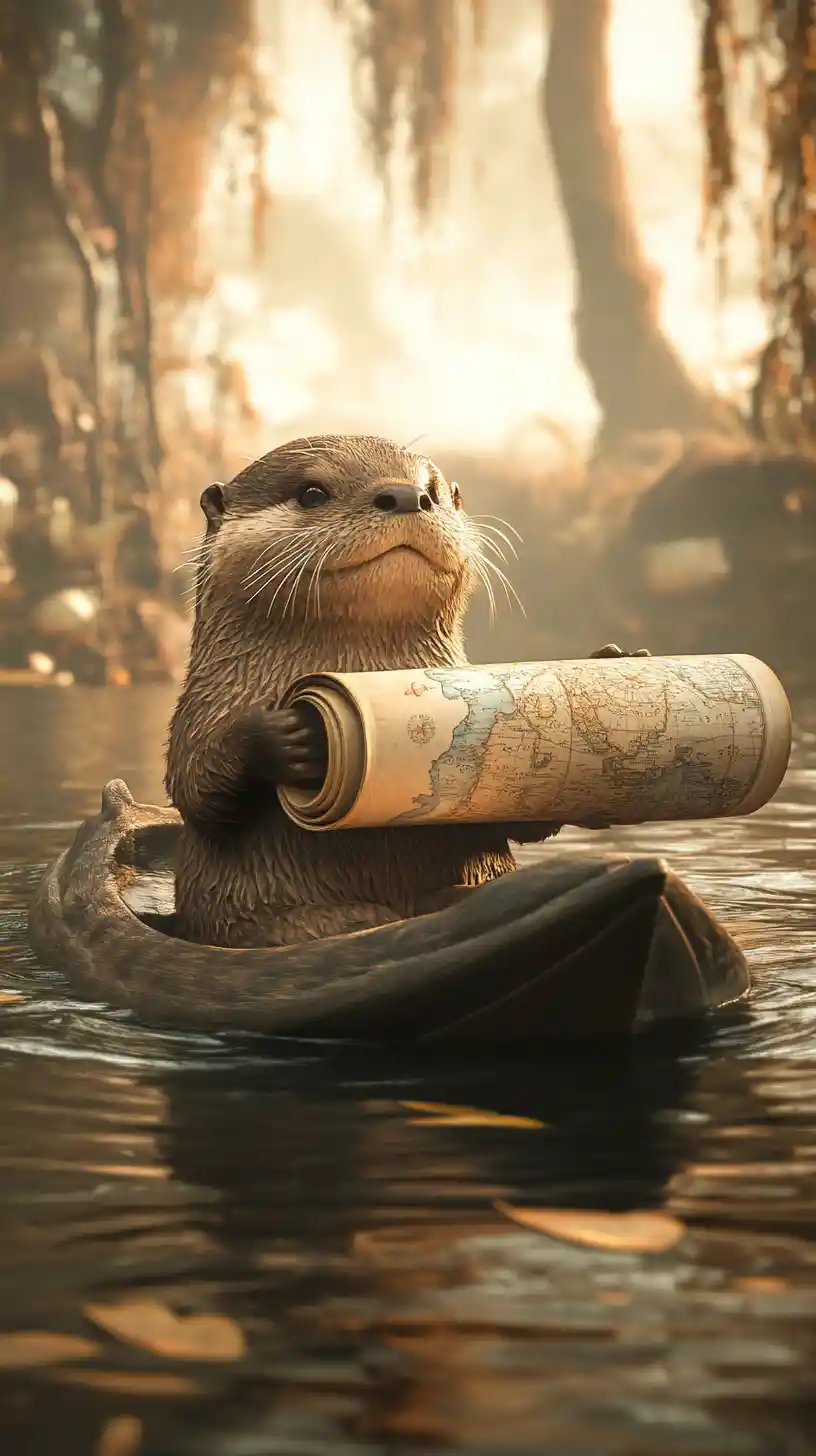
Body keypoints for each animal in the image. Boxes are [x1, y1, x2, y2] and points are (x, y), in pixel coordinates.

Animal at [166, 435, 647, 949]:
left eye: (433, 490)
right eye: (312, 492)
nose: (405, 494)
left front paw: (612, 661)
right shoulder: (202, 708)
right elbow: (196, 787)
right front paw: (286, 736)